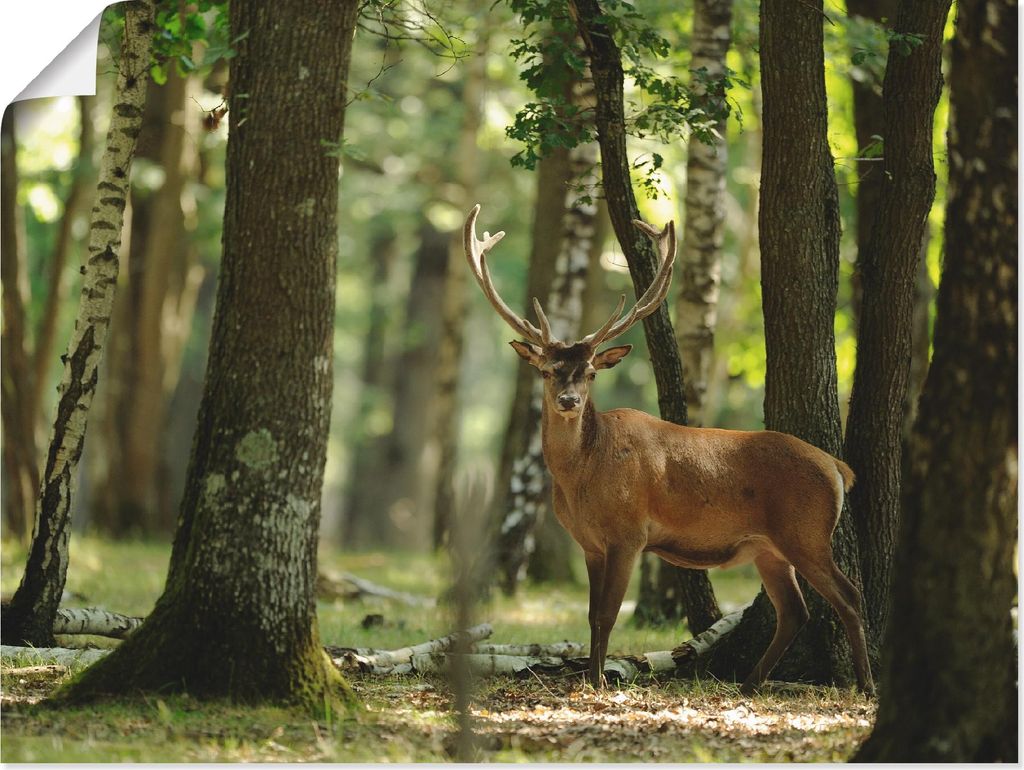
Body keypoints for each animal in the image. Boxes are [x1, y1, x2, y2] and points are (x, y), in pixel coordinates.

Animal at [464, 204, 875, 696]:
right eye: (547, 370)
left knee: (849, 595)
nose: (569, 401)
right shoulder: (590, 543)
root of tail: (838, 467)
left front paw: (598, 682)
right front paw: (589, 676)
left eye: (591, 373)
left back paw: (866, 684)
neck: (583, 476)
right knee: (795, 609)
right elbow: (591, 614)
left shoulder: (629, 533)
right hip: (768, 547)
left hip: (807, 532)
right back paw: (749, 682)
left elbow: (606, 614)